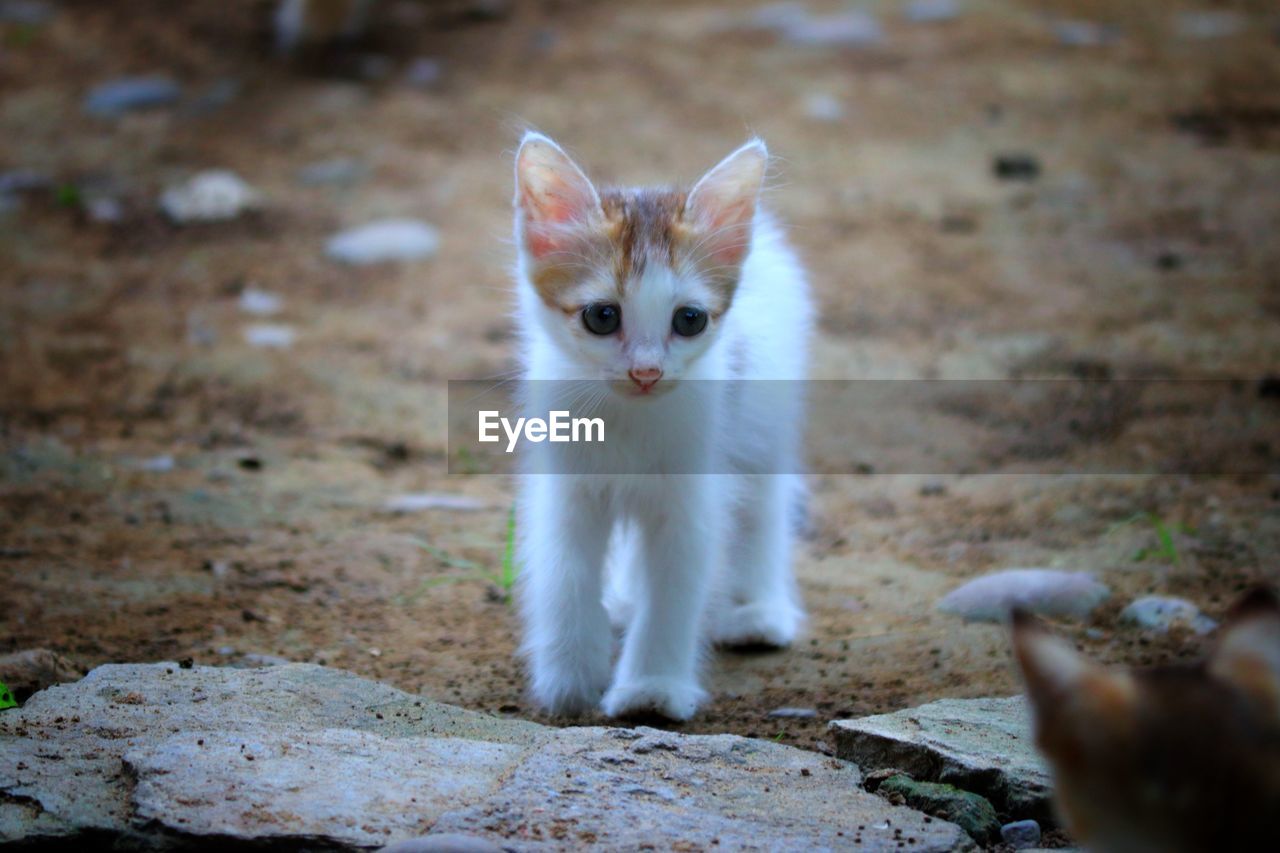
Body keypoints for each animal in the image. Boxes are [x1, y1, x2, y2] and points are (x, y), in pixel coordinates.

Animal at [509, 133, 808, 717]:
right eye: (602, 317)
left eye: (688, 320)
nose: (646, 371)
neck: (628, 420)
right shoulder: (568, 487)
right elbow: (565, 575)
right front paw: (570, 676)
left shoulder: (691, 496)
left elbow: (673, 588)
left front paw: (651, 688)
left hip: (762, 426)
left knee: (763, 506)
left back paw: (758, 612)